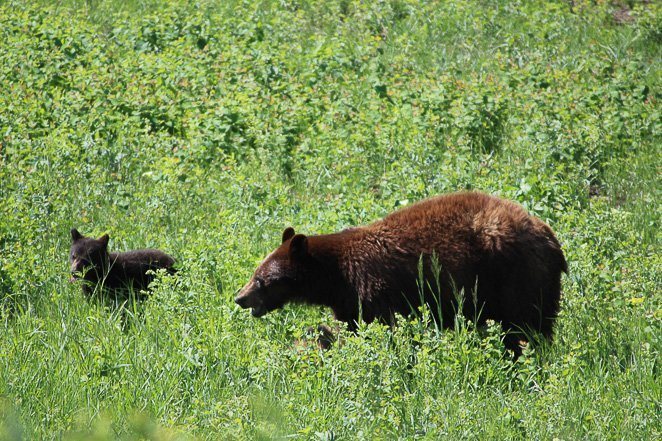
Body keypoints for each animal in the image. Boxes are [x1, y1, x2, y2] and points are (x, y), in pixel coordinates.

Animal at [236, 192, 568, 354]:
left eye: (262, 279)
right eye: (255, 272)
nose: (240, 298)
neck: (337, 277)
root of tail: (551, 239)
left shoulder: (373, 288)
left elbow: (383, 328)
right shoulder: (348, 303)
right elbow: (352, 328)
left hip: (516, 277)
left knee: (526, 327)